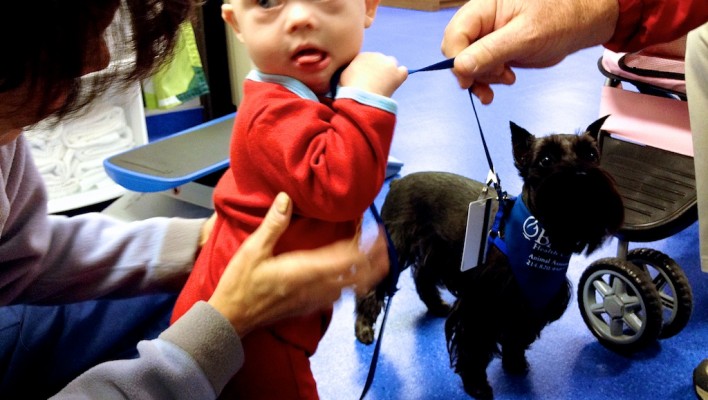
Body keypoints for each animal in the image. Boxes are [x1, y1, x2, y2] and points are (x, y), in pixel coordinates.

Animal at [356, 115, 624, 396]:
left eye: (591, 154)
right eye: (545, 160)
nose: (582, 176)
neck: (540, 243)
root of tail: (397, 182)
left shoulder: (529, 305)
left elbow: (517, 336)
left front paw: (514, 363)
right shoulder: (479, 306)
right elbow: (473, 348)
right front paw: (476, 384)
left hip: (435, 250)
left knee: (422, 276)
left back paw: (436, 305)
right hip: (395, 249)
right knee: (372, 288)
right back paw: (364, 329)